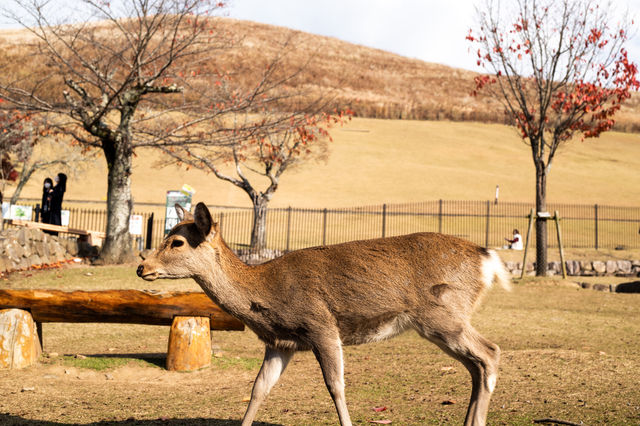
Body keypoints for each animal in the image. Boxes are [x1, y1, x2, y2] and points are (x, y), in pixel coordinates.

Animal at [139, 203, 510, 426]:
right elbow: (259, 388)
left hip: (443, 314)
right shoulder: (280, 343)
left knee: (490, 352)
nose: (143, 267)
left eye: (176, 242)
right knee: (475, 365)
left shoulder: (321, 325)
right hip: (442, 322)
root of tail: (487, 258)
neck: (264, 293)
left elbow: (335, 386)